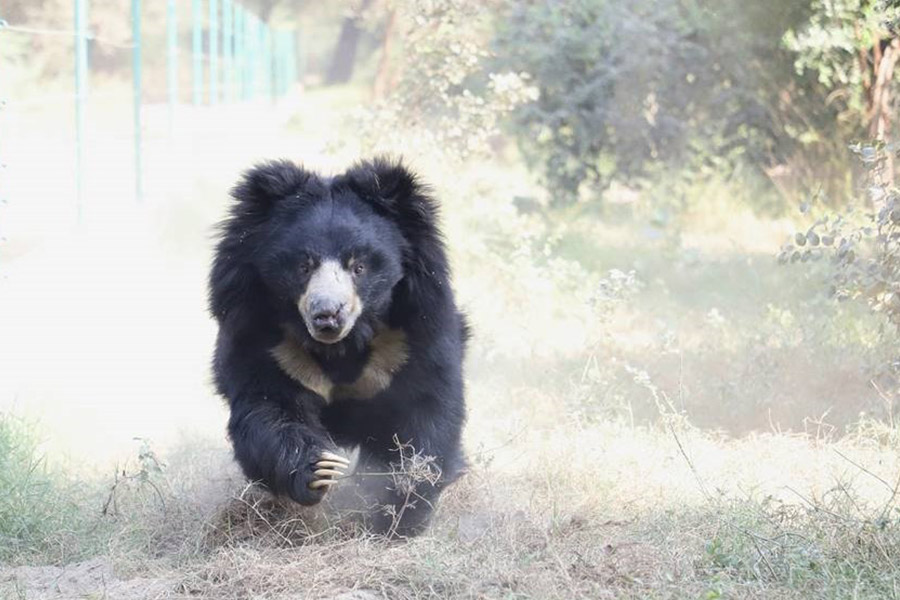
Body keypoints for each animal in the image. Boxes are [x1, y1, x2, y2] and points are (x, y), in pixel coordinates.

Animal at [208, 157, 468, 537]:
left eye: (359, 266)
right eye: (303, 266)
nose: (327, 315)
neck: (343, 346)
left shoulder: (413, 337)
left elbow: (424, 411)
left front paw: (400, 508)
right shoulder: (267, 343)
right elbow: (269, 409)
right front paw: (320, 469)